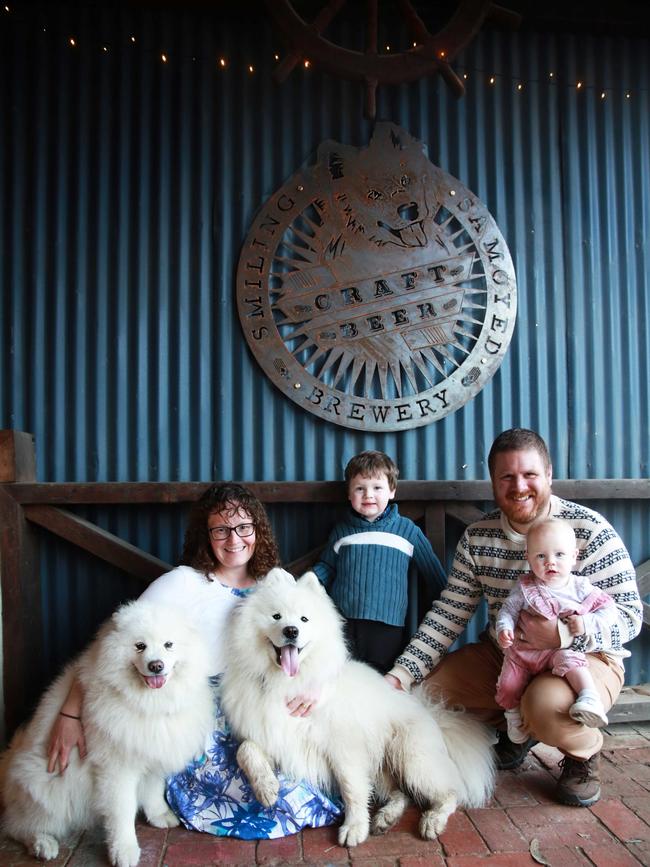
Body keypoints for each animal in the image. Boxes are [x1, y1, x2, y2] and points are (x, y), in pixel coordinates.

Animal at [0, 600, 213, 867]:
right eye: (140, 646)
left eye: (168, 644)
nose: (156, 666)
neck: (149, 704)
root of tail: (9, 759)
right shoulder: (116, 769)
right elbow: (122, 812)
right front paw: (124, 851)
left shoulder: (152, 751)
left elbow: (153, 791)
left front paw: (159, 815)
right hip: (47, 791)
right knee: (17, 826)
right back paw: (43, 844)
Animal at [220, 568, 494, 848]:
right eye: (276, 616)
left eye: (304, 619)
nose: (291, 631)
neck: (286, 684)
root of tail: (432, 713)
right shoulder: (268, 734)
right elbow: (246, 750)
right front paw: (266, 789)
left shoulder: (343, 747)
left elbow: (352, 789)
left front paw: (353, 828)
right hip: (385, 769)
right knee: (401, 794)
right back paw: (386, 818)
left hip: (412, 759)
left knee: (450, 792)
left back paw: (432, 821)